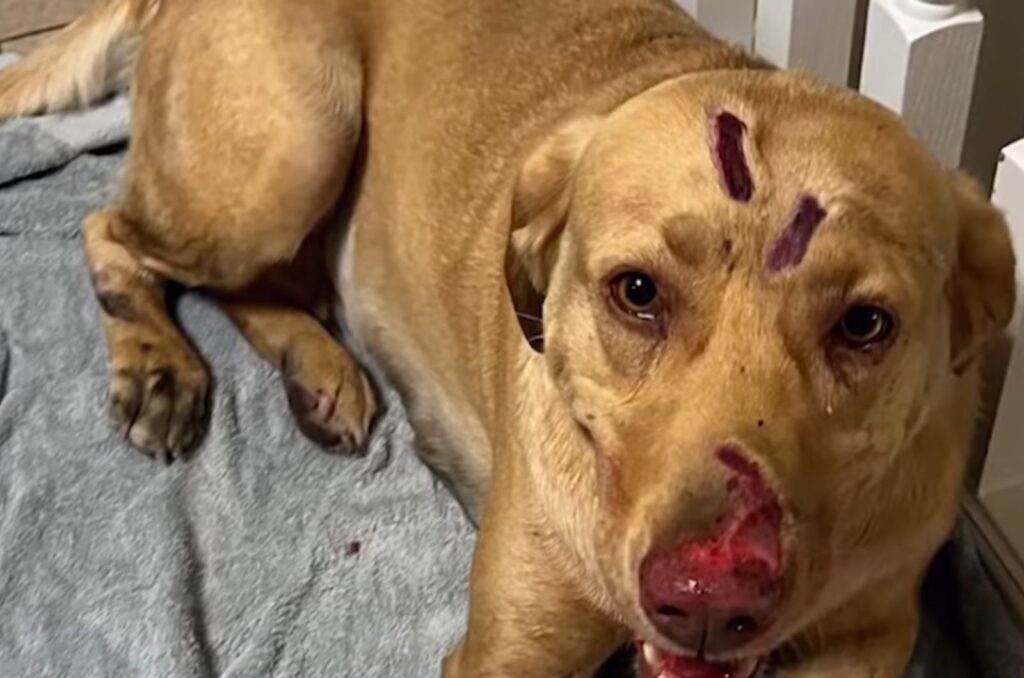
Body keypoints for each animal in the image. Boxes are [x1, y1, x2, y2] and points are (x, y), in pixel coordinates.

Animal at [0, 0, 1015, 675]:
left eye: (865, 325)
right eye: (636, 293)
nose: (707, 602)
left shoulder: (872, 635)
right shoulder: (510, 653)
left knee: (259, 285)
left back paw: (317, 369)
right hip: (286, 147)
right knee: (113, 230)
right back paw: (158, 368)